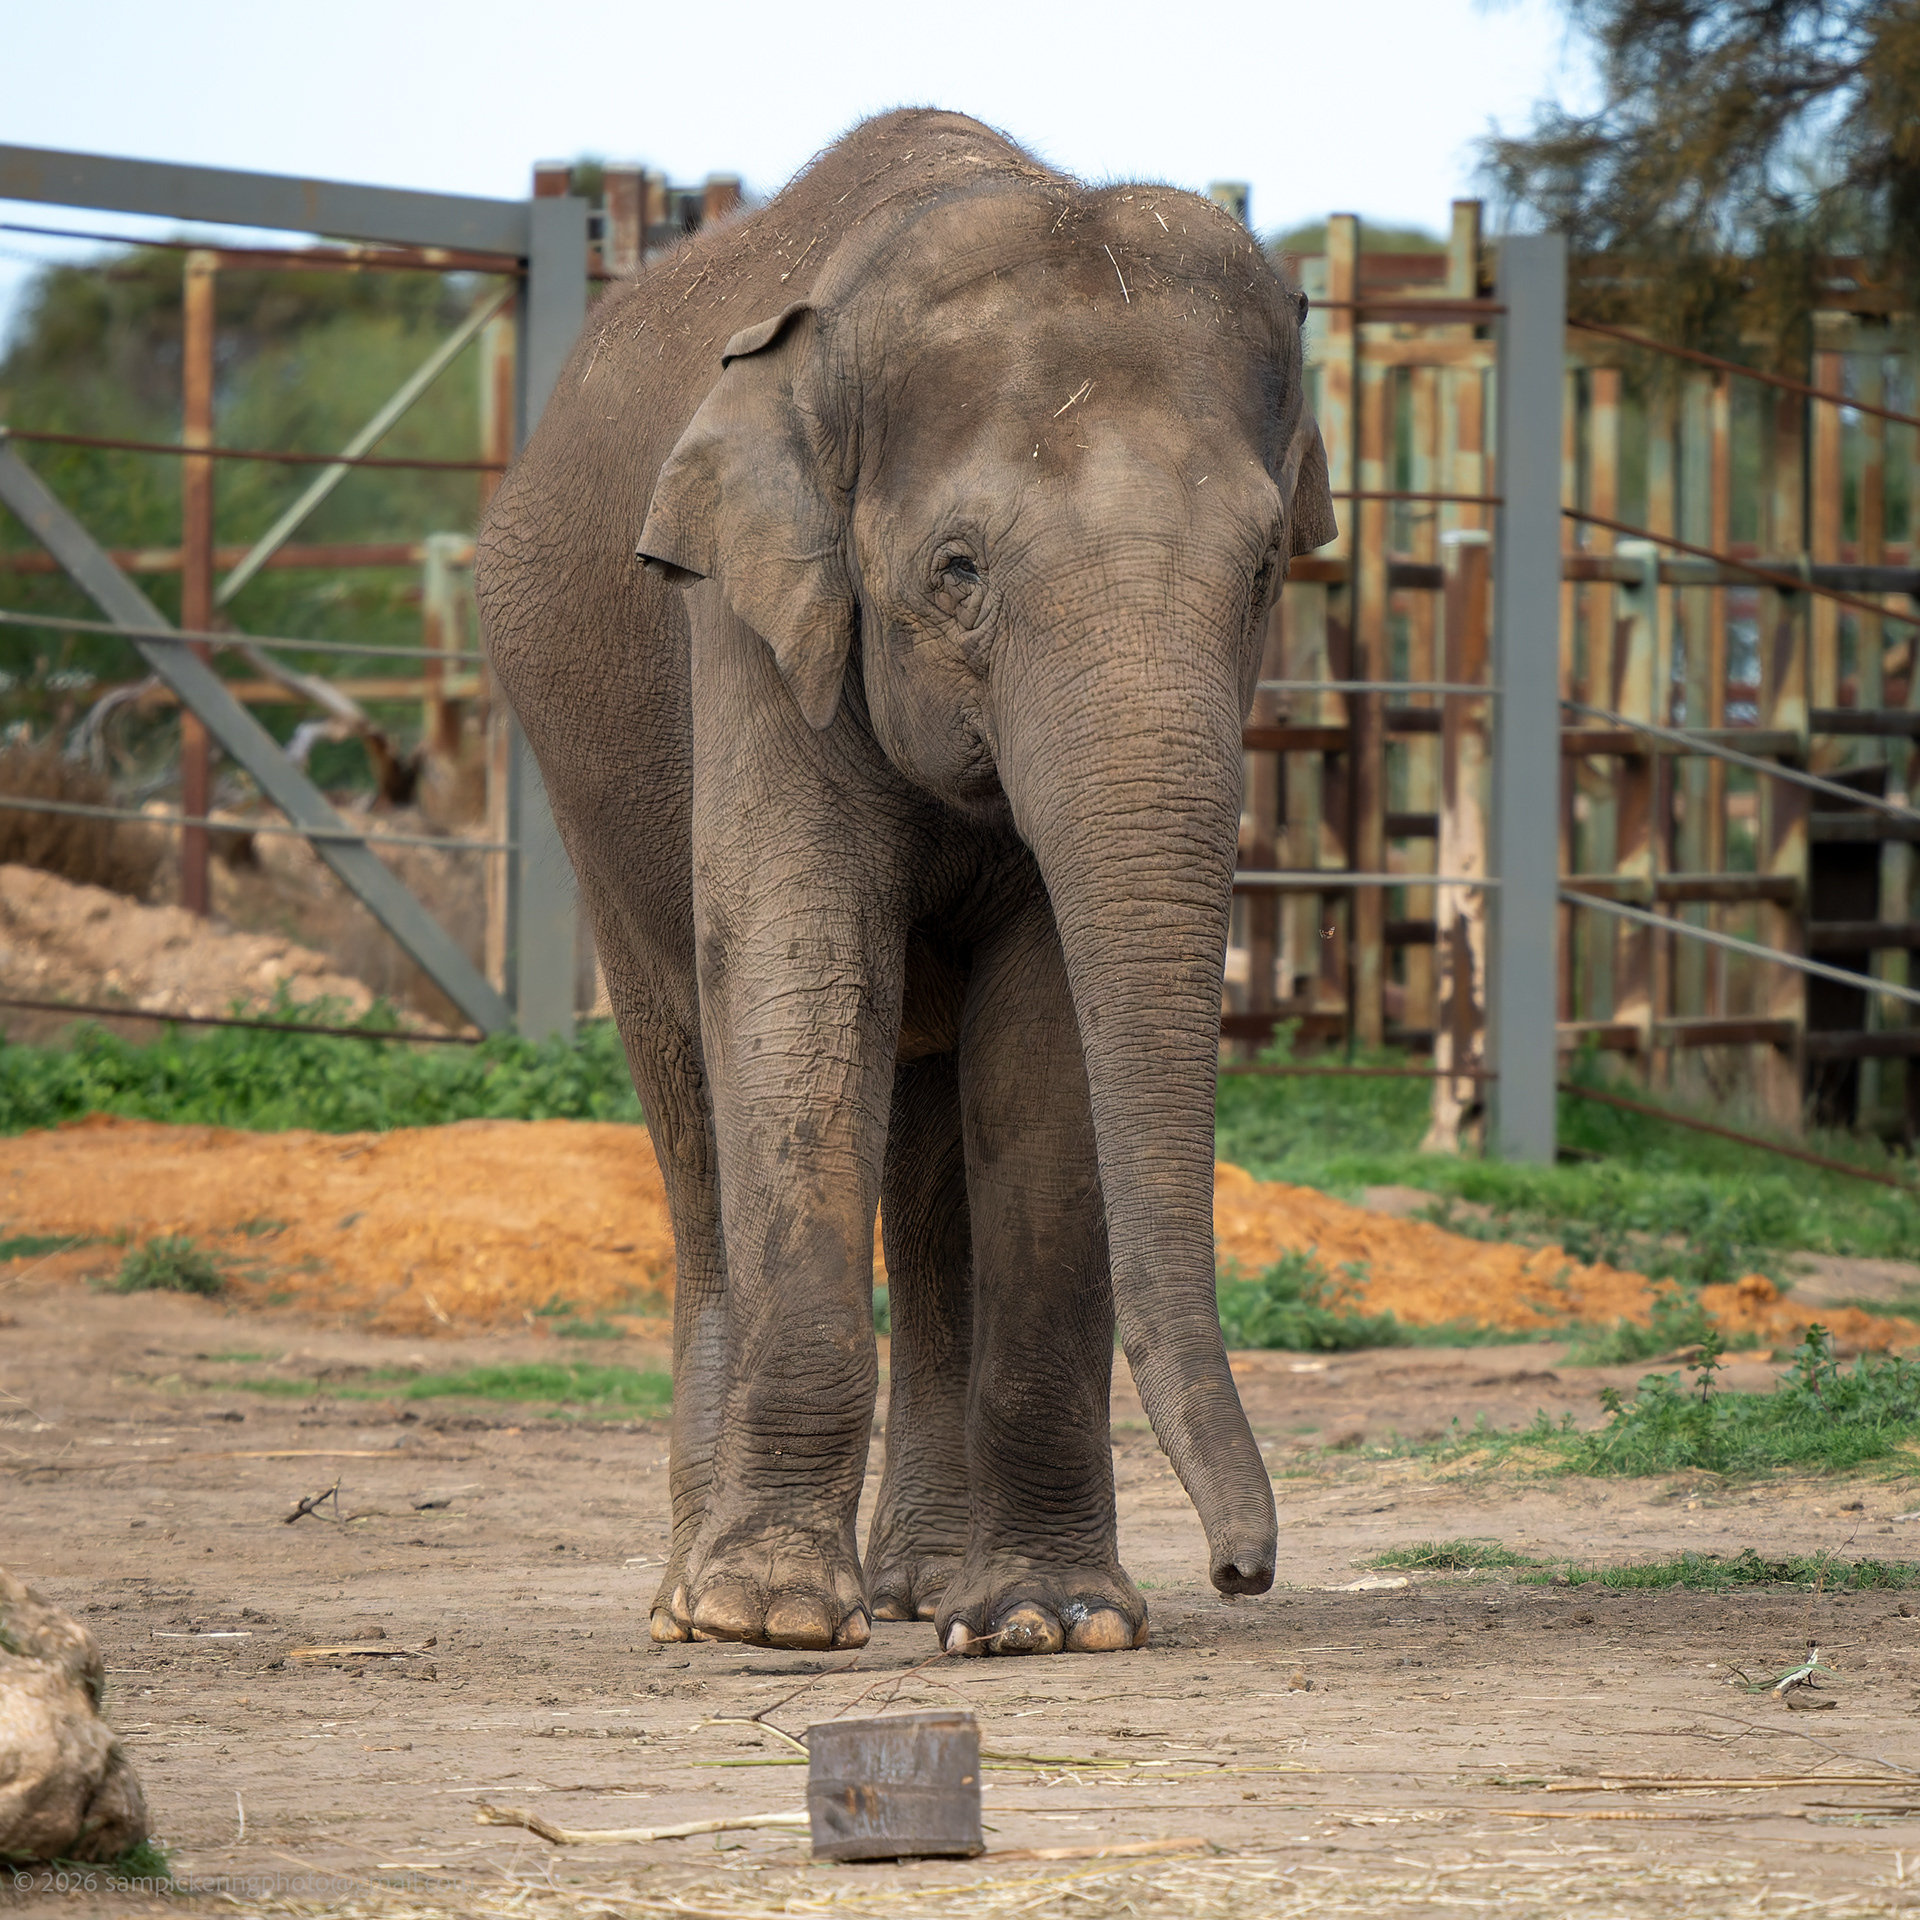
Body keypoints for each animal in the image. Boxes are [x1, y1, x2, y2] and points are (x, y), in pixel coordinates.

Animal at [476, 108, 1337, 1657]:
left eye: (1260, 576)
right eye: (957, 569)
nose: (1244, 1571)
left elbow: (1049, 1040)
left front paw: (1057, 1620)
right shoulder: (748, 618)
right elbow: (799, 980)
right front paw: (769, 1618)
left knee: (933, 1181)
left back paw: (927, 1590)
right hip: (585, 812)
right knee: (695, 1128)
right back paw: (690, 1602)